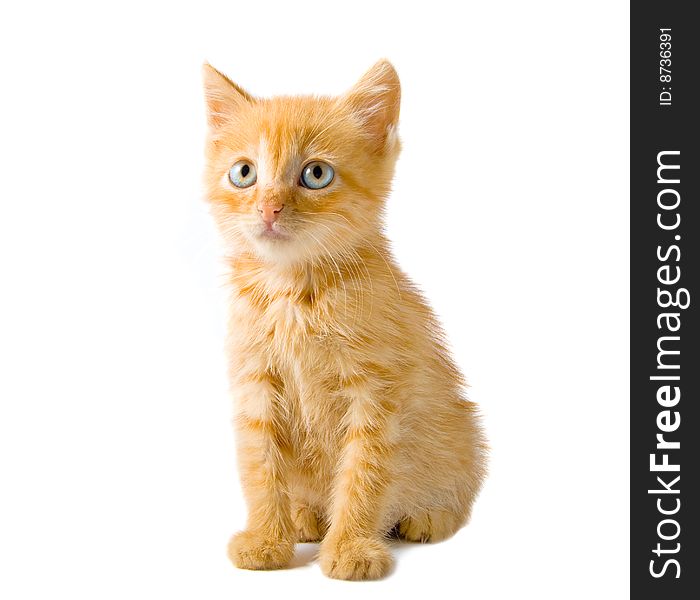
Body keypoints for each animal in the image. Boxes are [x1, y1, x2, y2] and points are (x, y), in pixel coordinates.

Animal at [201, 61, 486, 580]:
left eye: (316, 174)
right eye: (244, 173)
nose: (268, 208)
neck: (294, 294)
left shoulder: (376, 393)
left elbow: (364, 472)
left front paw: (352, 548)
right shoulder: (255, 382)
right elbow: (259, 465)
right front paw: (266, 539)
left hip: (463, 430)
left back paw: (430, 515)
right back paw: (303, 516)